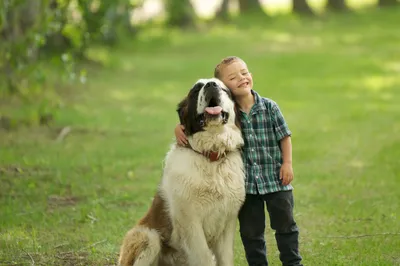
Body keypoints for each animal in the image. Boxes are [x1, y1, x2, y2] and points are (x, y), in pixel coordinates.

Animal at [117, 78, 245, 264]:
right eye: (196, 89)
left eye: (223, 88)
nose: (211, 85)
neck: (210, 156)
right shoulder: (190, 222)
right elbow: (204, 257)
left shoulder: (227, 221)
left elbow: (225, 258)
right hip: (148, 236)